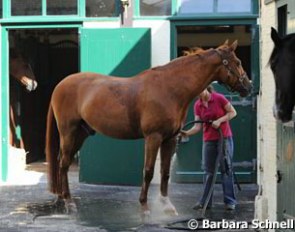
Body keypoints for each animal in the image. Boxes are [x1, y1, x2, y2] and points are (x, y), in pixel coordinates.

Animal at [45, 40, 252, 215]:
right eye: (238, 61)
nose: (248, 87)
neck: (169, 88)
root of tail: (60, 85)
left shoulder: (170, 139)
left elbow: (165, 173)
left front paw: (167, 205)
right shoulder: (153, 137)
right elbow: (148, 171)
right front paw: (144, 207)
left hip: (80, 134)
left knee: (62, 161)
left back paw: (60, 198)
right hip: (68, 132)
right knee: (64, 163)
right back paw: (69, 202)